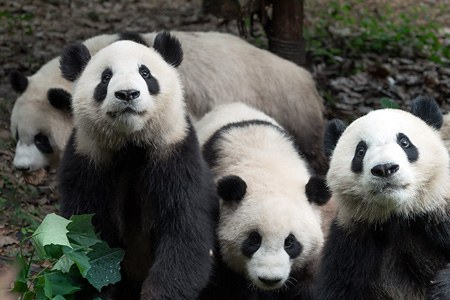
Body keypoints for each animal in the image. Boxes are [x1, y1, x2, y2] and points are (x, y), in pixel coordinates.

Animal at [57, 33, 219, 300]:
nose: (127, 94)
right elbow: (87, 238)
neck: (131, 144)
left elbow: (185, 231)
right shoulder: (88, 159)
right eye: (105, 77)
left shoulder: (175, 154)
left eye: (145, 73)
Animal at [314, 96, 450, 300]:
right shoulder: (351, 245)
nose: (385, 168)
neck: (398, 215)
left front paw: (441, 288)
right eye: (360, 151)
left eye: (404, 142)